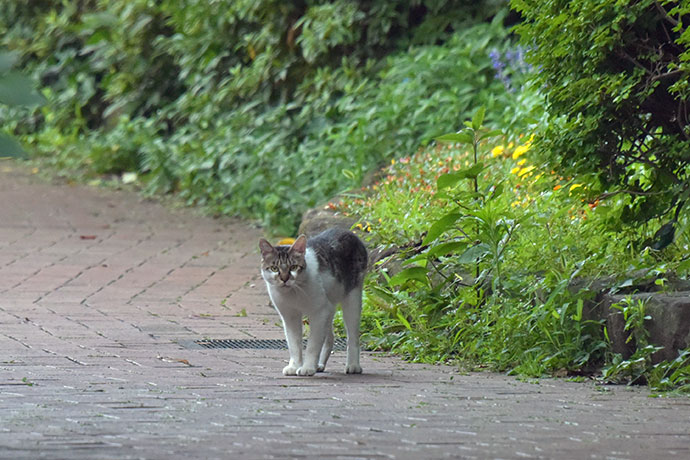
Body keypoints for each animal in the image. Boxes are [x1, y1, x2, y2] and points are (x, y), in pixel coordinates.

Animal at [256, 228, 366, 376]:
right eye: (274, 268)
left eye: (293, 267)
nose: (284, 279)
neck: (294, 292)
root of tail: (348, 232)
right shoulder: (290, 316)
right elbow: (294, 344)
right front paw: (295, 366)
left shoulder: (319, 312)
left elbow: (313, 344)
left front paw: (307, 367)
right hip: (329, 306)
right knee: (329, 337)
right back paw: (319, 365)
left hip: (352, 299)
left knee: (352, 337)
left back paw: (353, 365)